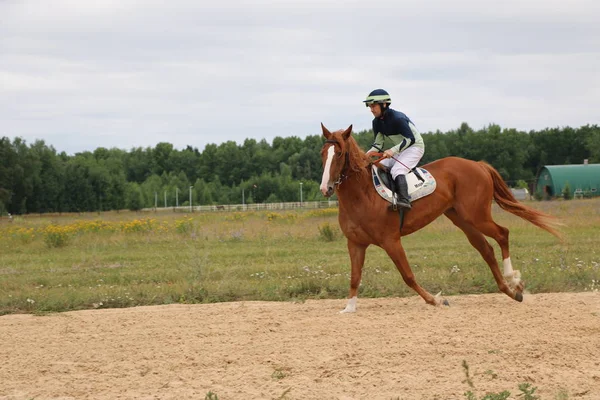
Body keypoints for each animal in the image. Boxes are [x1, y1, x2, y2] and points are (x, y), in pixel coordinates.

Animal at [322, 124, 560, 312]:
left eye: (340, 153)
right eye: (323, 153)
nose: (326, 188)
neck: (362, 195)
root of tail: (478, 164)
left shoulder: (391, 240)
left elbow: (408, 276)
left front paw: (435, 300)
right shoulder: (355, 243)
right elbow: (355, 276)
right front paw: (349, 307)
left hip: (477, 216)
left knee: (502, 234)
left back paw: (514, 280)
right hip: (462, 219)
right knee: (486, 249)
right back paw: (510, 291)